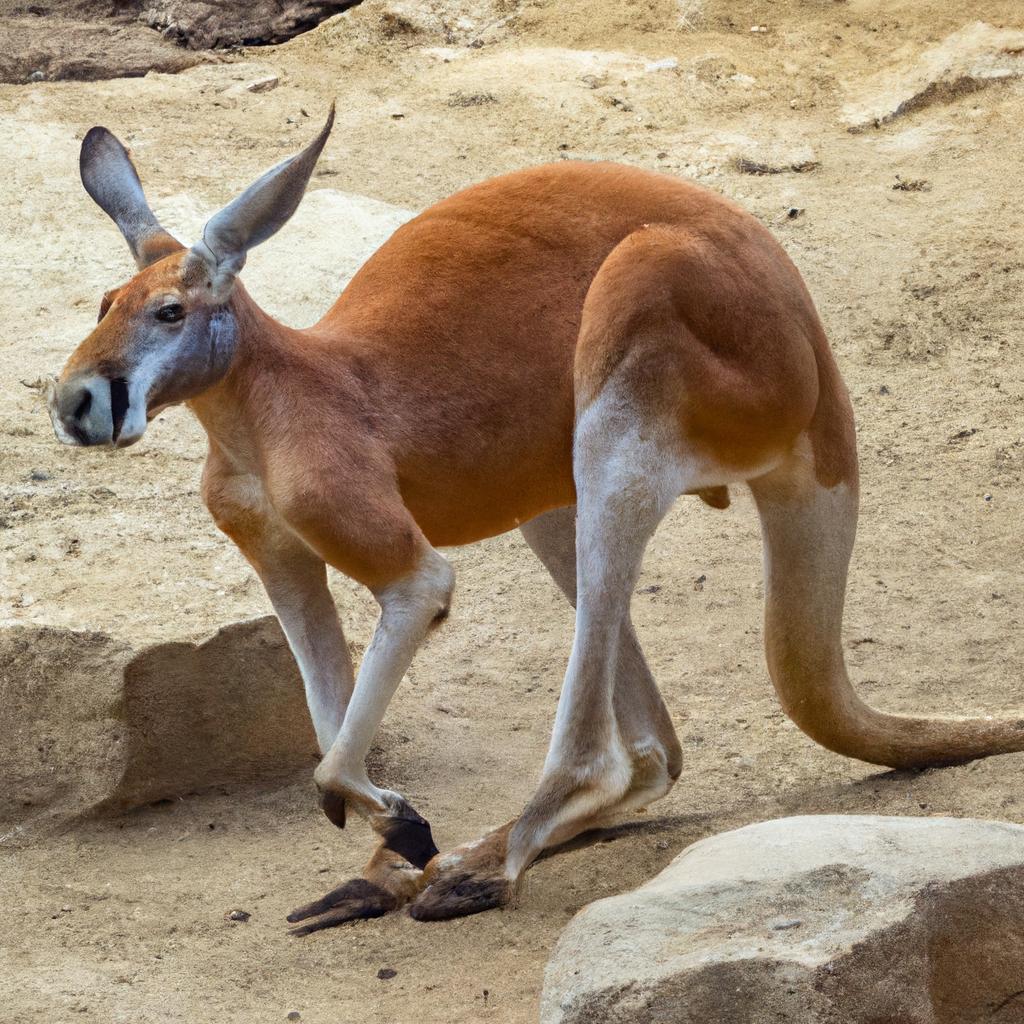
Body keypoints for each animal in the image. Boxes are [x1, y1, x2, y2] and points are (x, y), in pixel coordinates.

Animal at [48, 109, 1024, 933]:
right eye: (101, 306)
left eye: (170, 311)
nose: (73, 401)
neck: (265, 402)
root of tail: (818, 362)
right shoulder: (273, 548)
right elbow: (326, 706)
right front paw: (389, 834)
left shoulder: (364, 517)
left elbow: (406, 618)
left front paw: (398, 823)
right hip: (557, 489)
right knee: (655, 753)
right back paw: (417, 870)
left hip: (648, 346)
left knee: (613, 744)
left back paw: (480, 870)